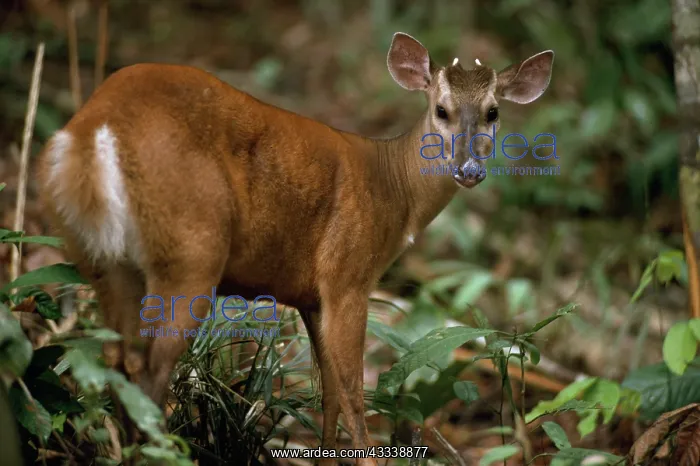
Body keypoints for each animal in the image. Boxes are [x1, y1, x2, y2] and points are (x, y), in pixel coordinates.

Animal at [36, 32, 553, 464]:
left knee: (117, 361)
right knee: (150, 369)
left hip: (100, 257)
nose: (469, 170)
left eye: (493, 112)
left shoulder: (310, 295)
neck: (393, 191)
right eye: (441, 109)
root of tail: (94, 131)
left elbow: (328, 393)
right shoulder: (347, 275)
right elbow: (353, 392)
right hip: (191, 251)